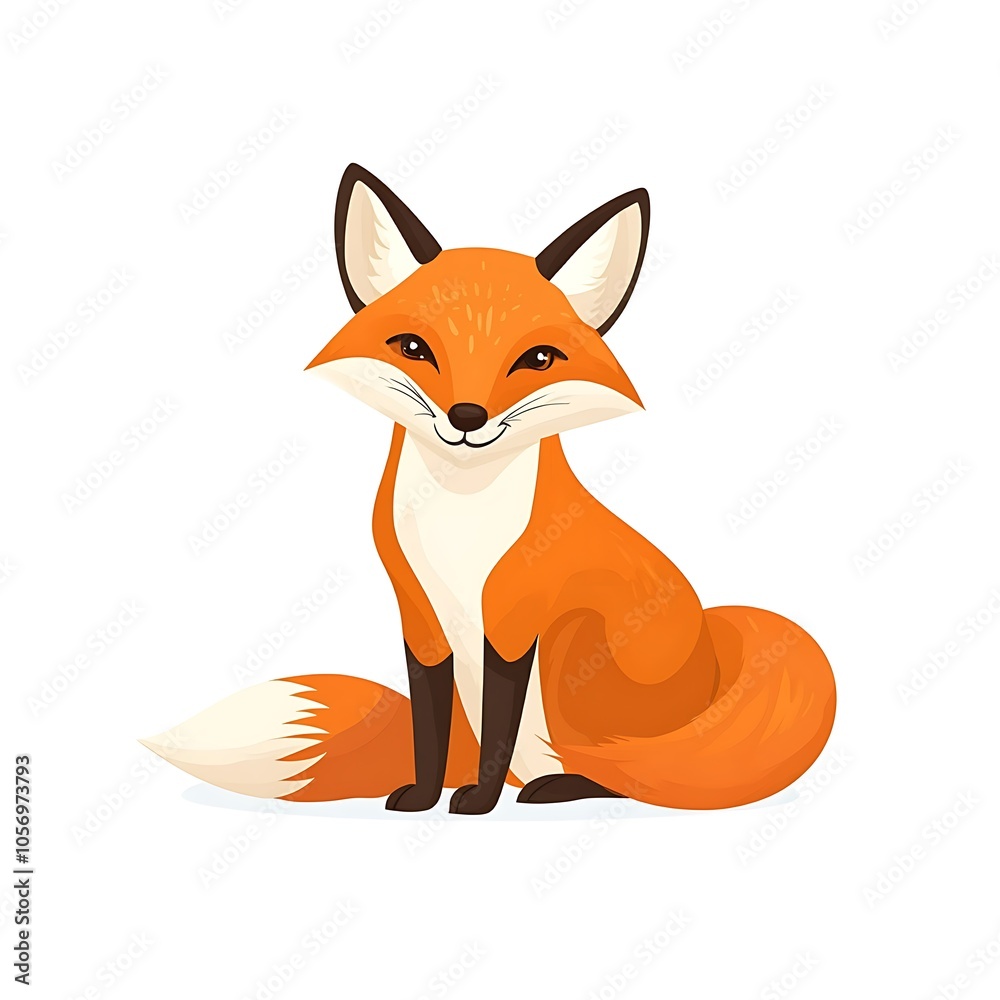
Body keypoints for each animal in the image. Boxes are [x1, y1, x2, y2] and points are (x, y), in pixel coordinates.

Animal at [142, 163, 836, 814]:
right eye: (414, 347)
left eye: (538, 360)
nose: (467, 416)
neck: (461, 520)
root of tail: (713, 673)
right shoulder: (419, 616)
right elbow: (429, 730)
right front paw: (425, 797)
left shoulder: (513, 617)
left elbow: (498, 727)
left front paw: (478, 801)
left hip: (574, 645)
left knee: (627, 774)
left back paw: (559, 787)